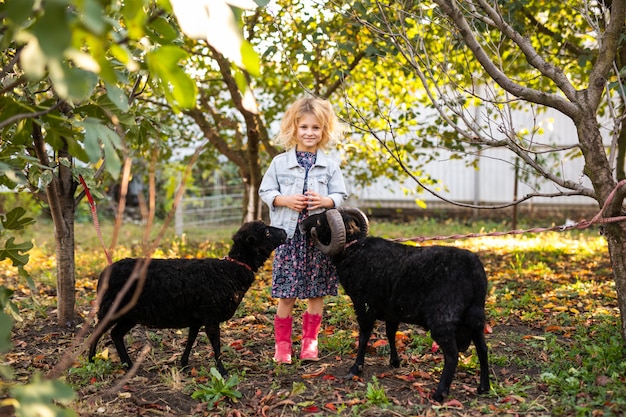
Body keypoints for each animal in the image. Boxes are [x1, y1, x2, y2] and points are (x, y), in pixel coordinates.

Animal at [88, 221, 286, 374]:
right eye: (267, 232)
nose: (284, 232)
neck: (231, 270)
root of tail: (104, 273)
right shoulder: (211, 316)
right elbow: (216, 344)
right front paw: (222, 371)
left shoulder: (197, 317)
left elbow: (191, 339)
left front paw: (183, 363)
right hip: (112, 308)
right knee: (97, 332)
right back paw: (91, 360)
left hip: (130, 314)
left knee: (116, 334)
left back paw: (127, 365)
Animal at [298, 210, 488, 402]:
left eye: (320, 221)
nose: (302, 225)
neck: (353, 250)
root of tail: (474, 271)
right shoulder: (392, 311)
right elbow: (390, 333)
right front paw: (395, 362)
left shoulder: (364, 306)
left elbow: (364, 337)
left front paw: (355, 369)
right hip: (475, 318)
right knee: (482, 348)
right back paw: (483, 387)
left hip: (442, 319)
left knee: (452, 355)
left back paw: (439, 393)